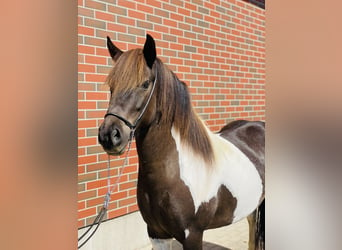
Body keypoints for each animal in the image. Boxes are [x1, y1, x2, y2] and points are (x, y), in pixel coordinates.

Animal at [99, 34, 264, 249]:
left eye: (145, 84)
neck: (174, 172)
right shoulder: (156, 234)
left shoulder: (193, 235)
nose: (109, 135)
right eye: (111, 87)